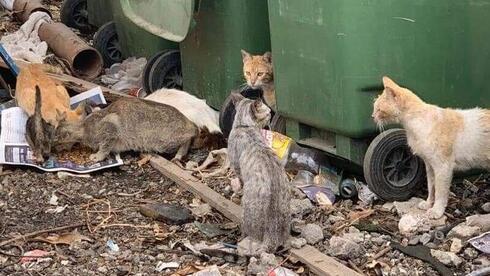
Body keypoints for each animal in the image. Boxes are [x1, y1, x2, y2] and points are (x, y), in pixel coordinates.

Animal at [54, 97, 198, 162]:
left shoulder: (110, 128)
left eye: (55, 143)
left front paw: (98, 156)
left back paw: (180, 154)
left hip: (165, 142)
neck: (84, 126)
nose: (52, 152)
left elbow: (104, 148)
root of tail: (188, 121)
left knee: (189, 137)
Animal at [372, 76, 490, 219]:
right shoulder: (430, 166)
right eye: (375, 108)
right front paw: (428, 204)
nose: (372, 116)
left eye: (378, 109)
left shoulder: (443, 167)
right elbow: (431, 187)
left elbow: (440, 191)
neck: (416, 122)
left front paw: (436, 211)